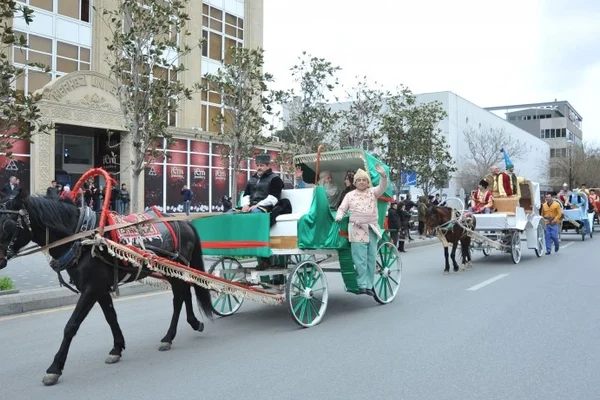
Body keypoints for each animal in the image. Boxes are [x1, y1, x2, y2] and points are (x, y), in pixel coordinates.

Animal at [0, 191, 213, 384]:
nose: (0, 260)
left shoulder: (91, 289)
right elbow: (111, 317)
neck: (81, 238)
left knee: (179, 298)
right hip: (175, 271)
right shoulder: (100, 289)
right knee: (185, 292)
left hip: (176, 268)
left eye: (7, 224)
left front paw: (55, 368)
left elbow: (71, 326)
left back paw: (169, 337)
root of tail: (185, 223)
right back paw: (194, 323)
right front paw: (117, 348)